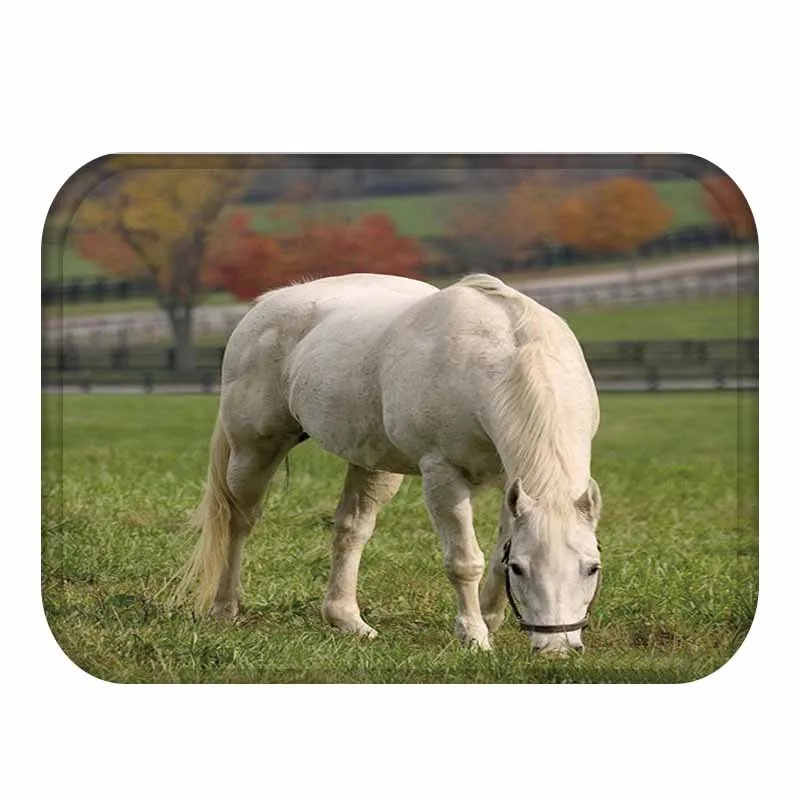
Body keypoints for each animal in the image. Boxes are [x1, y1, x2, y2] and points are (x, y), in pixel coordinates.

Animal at [174, 272, 603, 654]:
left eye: (592, 567)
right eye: (522, 569)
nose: (556, 647)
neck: (502, 356)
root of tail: (266, 304)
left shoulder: (510, 481)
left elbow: (496, 553)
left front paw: (489, 619)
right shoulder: (442, 475)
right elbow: (465, 560)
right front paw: (474, 636)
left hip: (372, 465)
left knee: (351, 530)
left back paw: (347, 620)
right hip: (253, 451)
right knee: (237, 521)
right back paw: (225, 607)